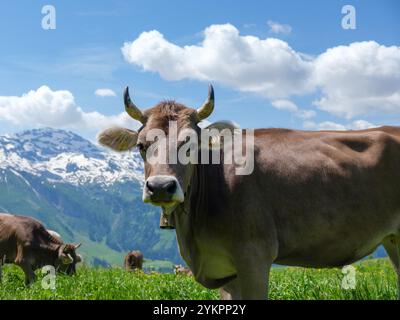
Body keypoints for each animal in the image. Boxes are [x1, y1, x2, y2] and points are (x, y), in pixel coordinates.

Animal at [98, 85, 400, 300]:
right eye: (141, 145)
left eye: (191, 144)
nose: (161, 186)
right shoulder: (227, 270)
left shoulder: (255, 257)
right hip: (393, 239)